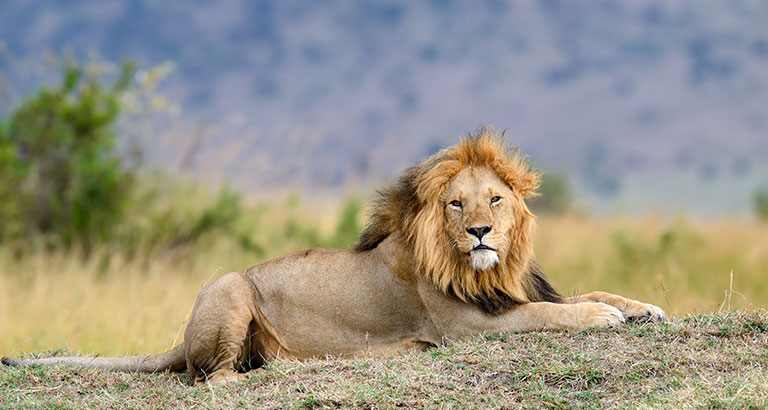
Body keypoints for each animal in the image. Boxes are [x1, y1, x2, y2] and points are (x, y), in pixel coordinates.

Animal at [0, 131, 664, 384]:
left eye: (495, 199)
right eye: (455, 204)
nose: (479, 232)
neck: (487, 268)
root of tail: (181, 336)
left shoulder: (510, 293)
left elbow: (589, 292)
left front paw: (641, 308)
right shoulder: (465, 326)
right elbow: (551, 313)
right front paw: (603, 319)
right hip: (230, 285)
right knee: (213, 377)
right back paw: (276, 370)